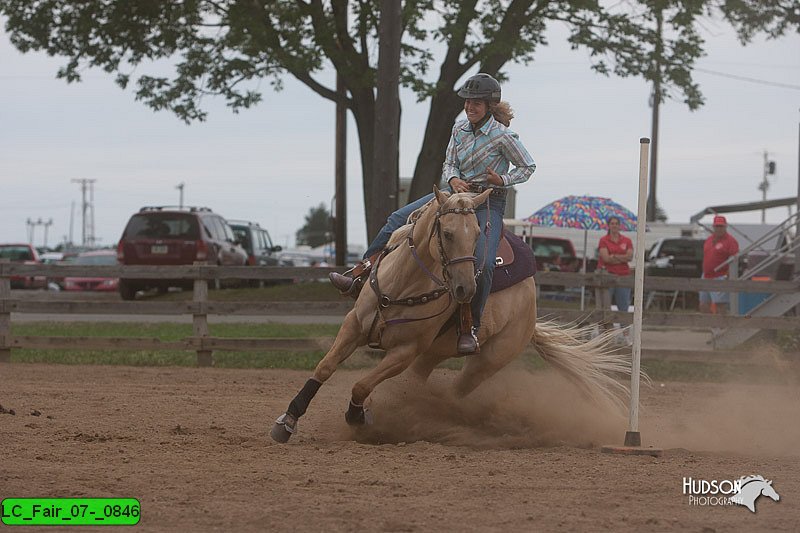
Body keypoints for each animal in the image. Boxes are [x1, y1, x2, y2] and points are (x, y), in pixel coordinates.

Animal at [270, 185, 632, 442]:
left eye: (478, 235)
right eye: (446, 233)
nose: (465, 290)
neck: (402, 285)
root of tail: (531, 302)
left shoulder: (405, 351)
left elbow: (360, 385)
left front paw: (358, 417)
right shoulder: (355, 326)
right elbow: (325, 366)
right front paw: (288, 420)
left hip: (487, 360)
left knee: (454, 392)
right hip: (432, 354)